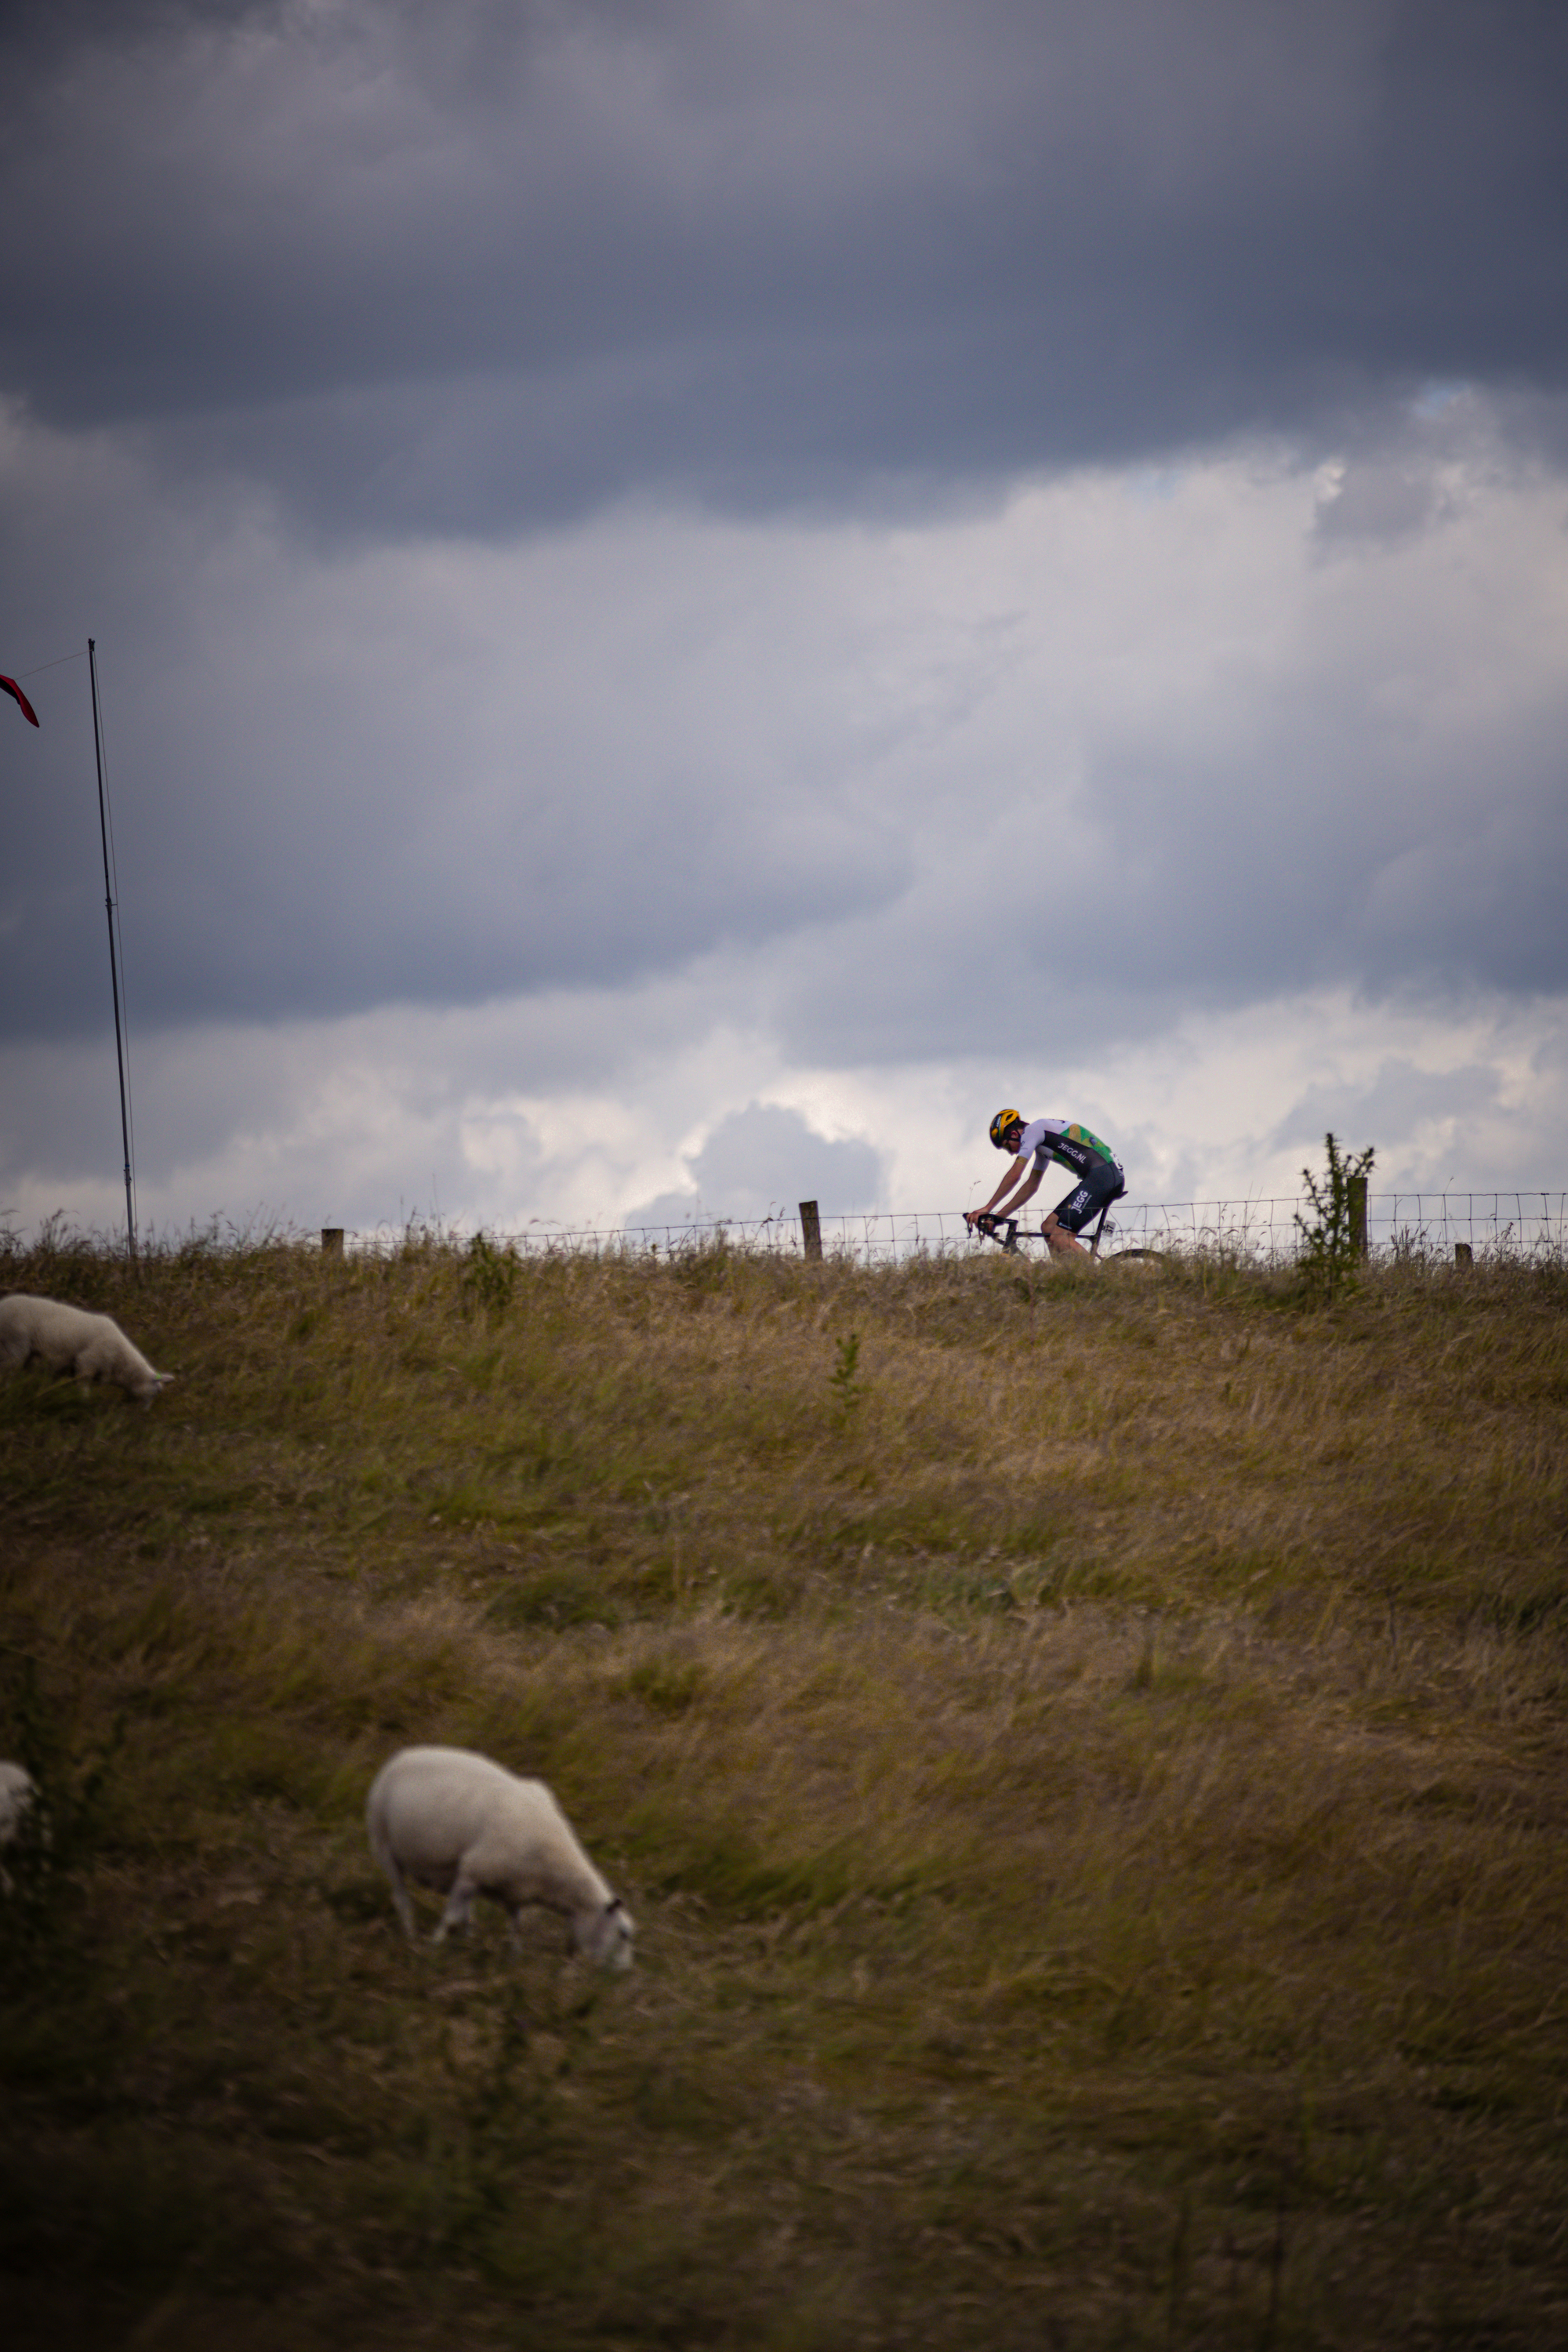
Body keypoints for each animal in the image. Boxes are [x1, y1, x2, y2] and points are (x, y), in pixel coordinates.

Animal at [0, 1298, 172, 1402]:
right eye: (157, 1391)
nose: (143, 1415)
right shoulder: (88, 1361)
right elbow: (84, 1386)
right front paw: (84, 1401)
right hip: (15, 1343)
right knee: (9, 1370)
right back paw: (8, 1391)